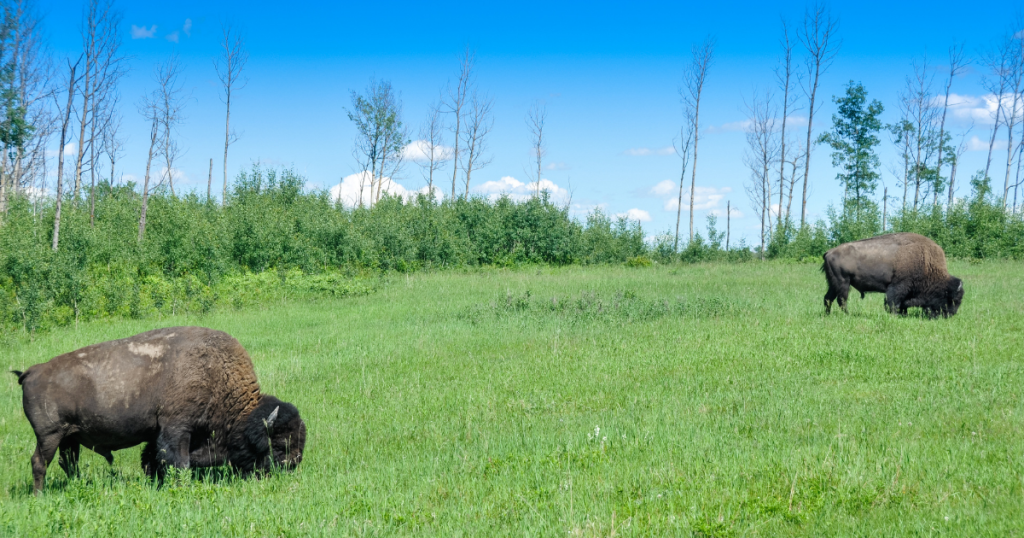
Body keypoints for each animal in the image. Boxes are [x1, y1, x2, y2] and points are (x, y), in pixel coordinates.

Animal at [12, 326, 306, 493]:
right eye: (280, 445)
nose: (292, 466)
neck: (215, 374)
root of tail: (31, 372)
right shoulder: (176, 429)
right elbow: (178, 461)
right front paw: (178, 486)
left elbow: (155, 458)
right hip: (49, 436)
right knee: (39, 462)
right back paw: (40, 495)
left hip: (69, 437)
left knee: (68, 463)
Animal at [822, 232, 964, 318]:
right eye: (953, 300)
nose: (950, 315)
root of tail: (829, 252)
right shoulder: (898, 287)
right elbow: (893, 303)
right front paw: (895, 315)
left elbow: (901, 304)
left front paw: (903, 314)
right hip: (843, 283)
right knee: (841, 300)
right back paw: (848, 314)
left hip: (833, 284)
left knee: (828, 298)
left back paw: (828, 315)